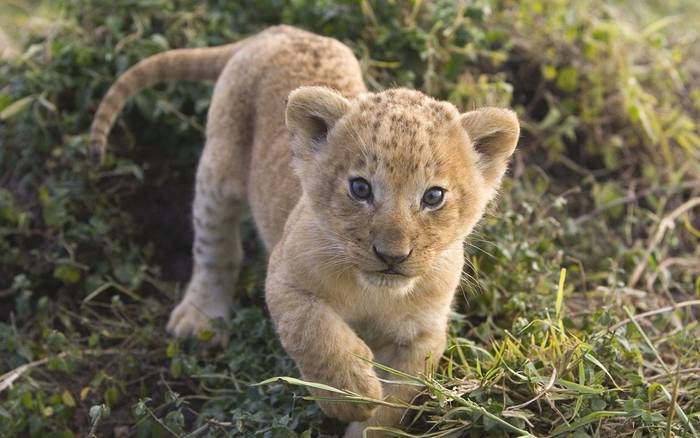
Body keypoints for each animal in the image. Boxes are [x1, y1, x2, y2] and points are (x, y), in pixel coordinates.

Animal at [91, 25, 519, 437]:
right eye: (360, 188)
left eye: (433, 196)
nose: (391, 256)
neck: (376, 295)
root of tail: (281, 31)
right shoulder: (285, 278)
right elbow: (314, 332)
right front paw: (351, 393)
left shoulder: (423, 334)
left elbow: (396, 402)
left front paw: (367, 418)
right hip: (219, 169)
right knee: (214, 247)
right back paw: (200, 319)